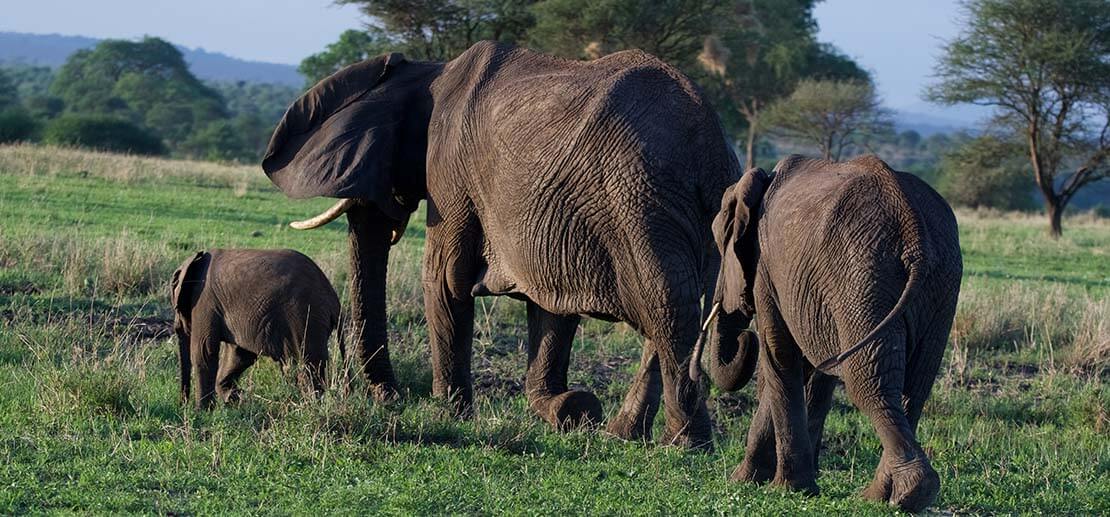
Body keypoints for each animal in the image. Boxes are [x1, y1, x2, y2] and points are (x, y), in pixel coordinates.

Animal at [171, 249, 341, 408]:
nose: (182, 405)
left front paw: (201, 413)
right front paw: (235, 399)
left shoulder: (205, 302)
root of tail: (334, 300)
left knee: (309, 364)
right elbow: (239, 355)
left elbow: (204, 352)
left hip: (307, 317)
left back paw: (311, 405)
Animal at [260, 41, 740, 447]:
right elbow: (552, 304)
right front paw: (562, 408)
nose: (390, 398)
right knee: (677, 312)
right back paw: (622, 434)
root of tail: (713, 151)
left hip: (640, 202)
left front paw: (451, 414)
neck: (429, 70)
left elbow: (444, 279)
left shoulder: (450, 172)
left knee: (668, 311)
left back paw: (684, 445)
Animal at [694, 155, 962, 511]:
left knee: (868, 385)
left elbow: (780, 357)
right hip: (938, 285)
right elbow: (808, 368)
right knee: (913, 389)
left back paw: (900, 495)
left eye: (719, 243)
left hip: (861, 278)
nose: (743, 339)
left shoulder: (769, 271)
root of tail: (912, 225)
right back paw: (885, 496)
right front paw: (760, 481)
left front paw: (781, 488)